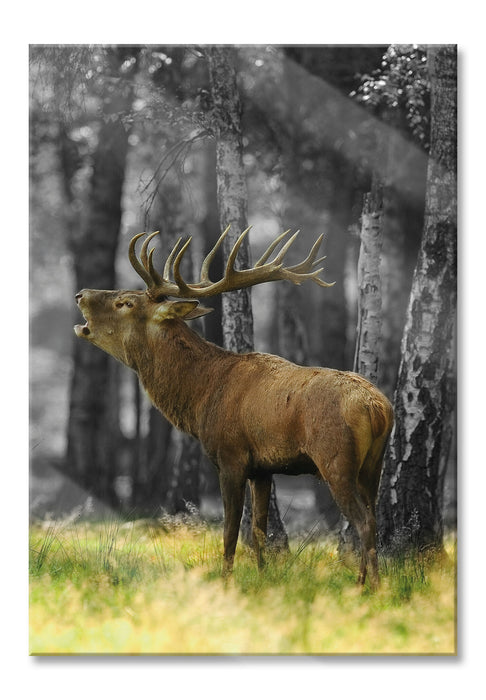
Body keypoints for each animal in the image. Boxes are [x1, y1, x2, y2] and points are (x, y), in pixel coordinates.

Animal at [74, 226, 394, 588]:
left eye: (125, 302)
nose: (81, 294)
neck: (200, 397)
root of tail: (377, 408)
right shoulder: (264, 469)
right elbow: (259, 531)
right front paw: (263, 578)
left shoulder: (230, 456)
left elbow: (229, 533)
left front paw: (226, 582)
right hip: (374, 464)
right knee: (373, 517)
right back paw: (364, 581)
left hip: (335, 458)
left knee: (363, 521)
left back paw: (371, 587)